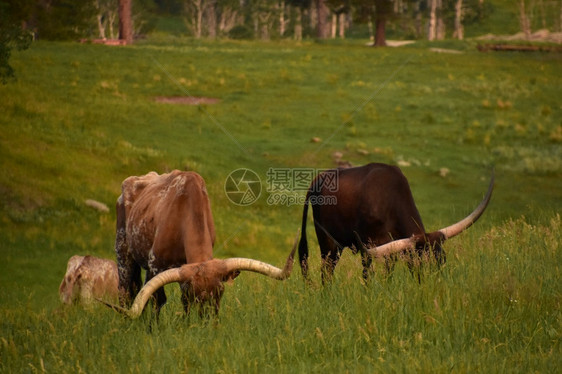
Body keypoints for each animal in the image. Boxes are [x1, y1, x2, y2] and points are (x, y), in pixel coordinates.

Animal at [114, 171, 298, 318]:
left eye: (220, 292)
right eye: (195, 294)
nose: (208, 321)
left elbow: (183, 304)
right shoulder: (156, 265)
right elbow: (158, 301)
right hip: (123, 252)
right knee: (125, 292)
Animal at [298, 162, 490, 282]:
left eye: (442, 260)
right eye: (421, 261)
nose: (436, 286)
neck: (389, 198)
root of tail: (318, 179)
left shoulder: (391, 249)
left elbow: (388, 272)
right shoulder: (367, 246)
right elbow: (368, 274)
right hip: (329, 243)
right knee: (326, 271)